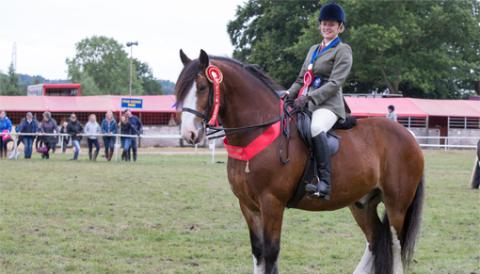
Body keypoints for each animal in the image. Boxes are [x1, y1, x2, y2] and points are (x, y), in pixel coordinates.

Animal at [175, 49, 424, 274]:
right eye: (179, 88)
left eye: (202, 87)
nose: (189, 134)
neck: (258, 131)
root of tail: (408, 136)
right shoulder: (248, 205)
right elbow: (258, 252)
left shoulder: (272, 203)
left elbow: (271, 252)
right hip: (361, 202)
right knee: (374, 239)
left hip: (396, 204)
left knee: (395, 245)